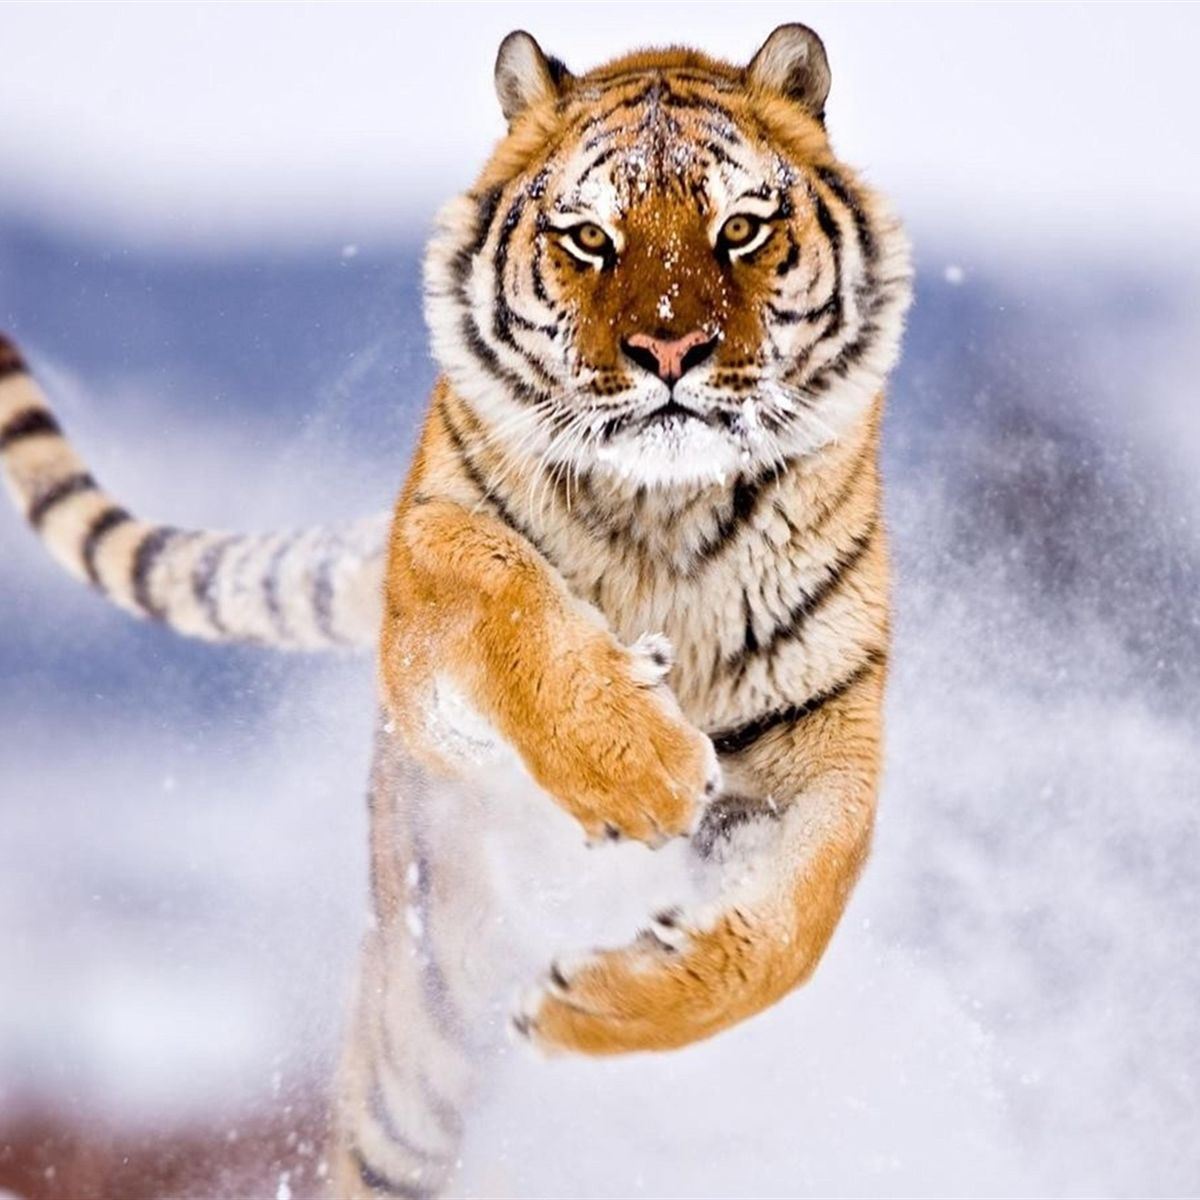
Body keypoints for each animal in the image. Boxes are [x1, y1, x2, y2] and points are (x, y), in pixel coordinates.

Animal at [0, 21, 907, 1200]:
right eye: (589, 238)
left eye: (741, 229)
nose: (670, 352)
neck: (664, 513)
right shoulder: (428, 584)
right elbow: (500, 584)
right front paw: (644, 767)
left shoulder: (827, 732)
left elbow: (794, 928)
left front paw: (589, 1006)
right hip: (415, 1045)